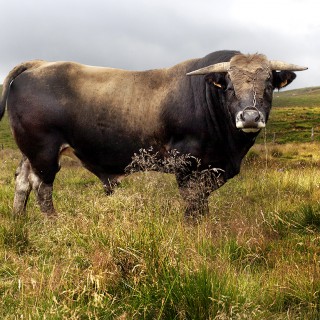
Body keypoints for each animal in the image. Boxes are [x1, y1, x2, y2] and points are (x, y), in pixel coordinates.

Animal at [0, 50, 308, 218]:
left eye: (268, 84)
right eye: (230, 86)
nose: (250, 116)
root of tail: (39, 64)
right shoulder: (186, 165)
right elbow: (193, 204)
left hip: (31, 152)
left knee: (23, 180)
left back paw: (19, 220)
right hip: (44, 150)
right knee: (42, 187)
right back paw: (53, 222)